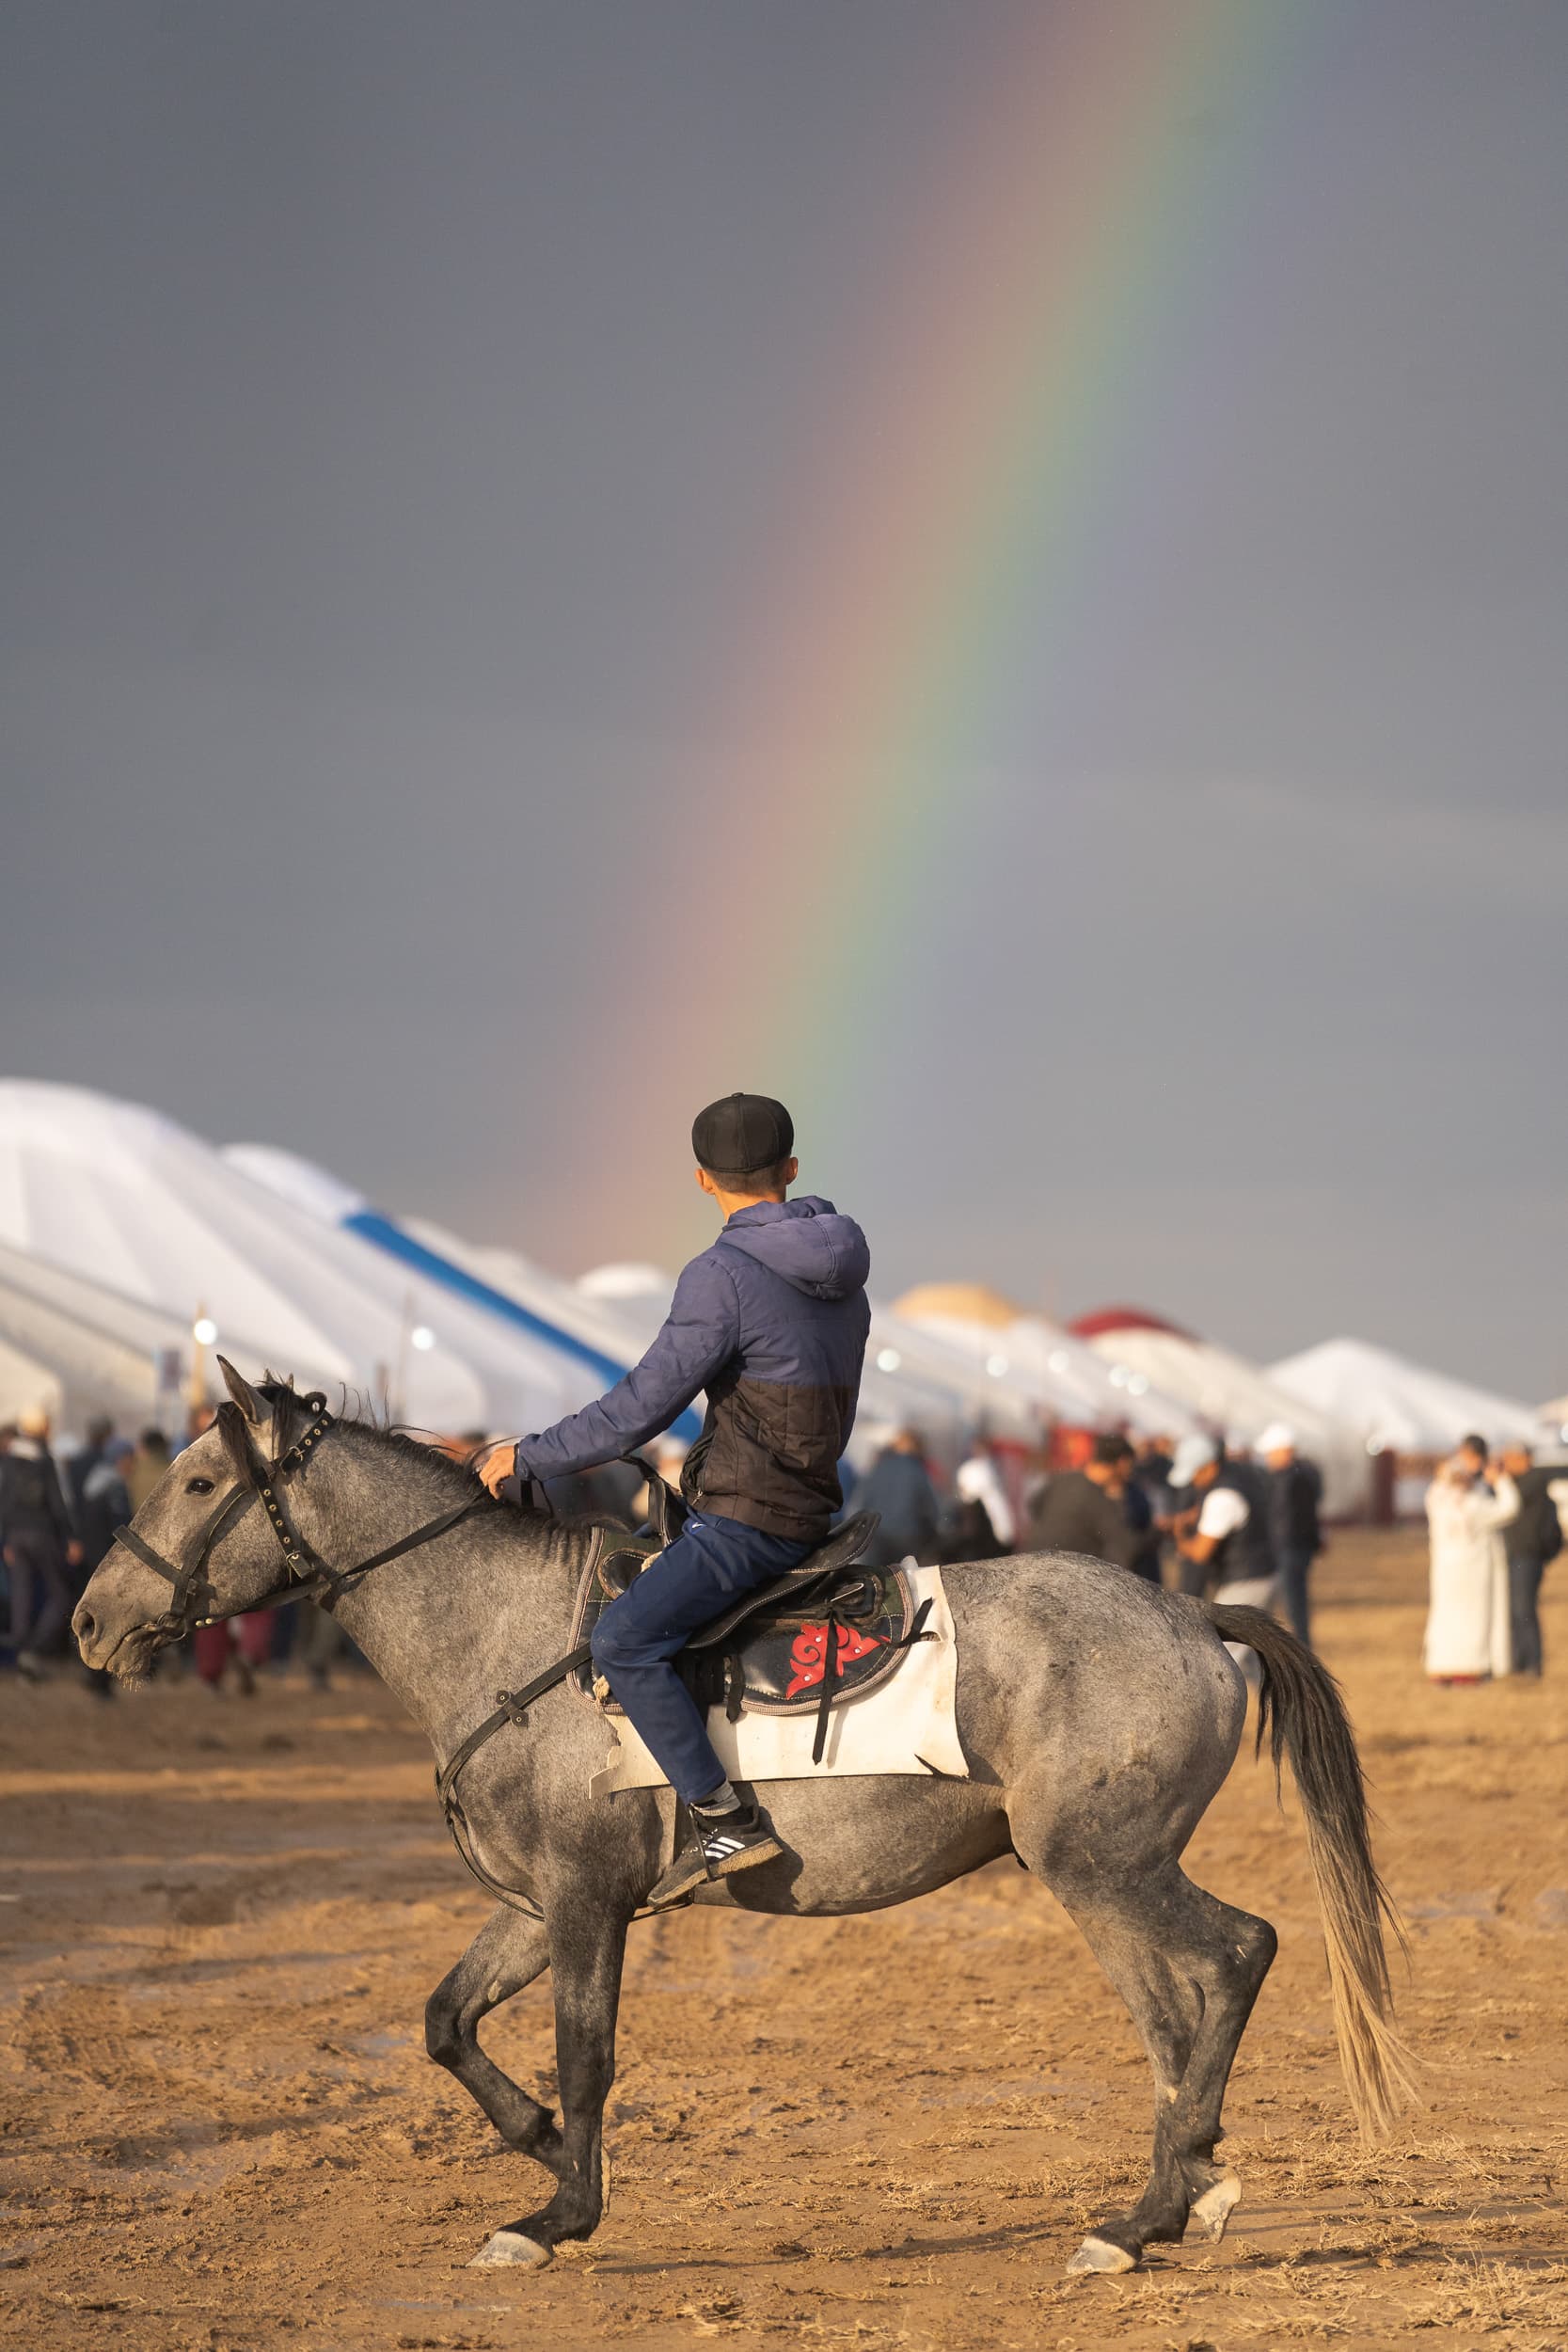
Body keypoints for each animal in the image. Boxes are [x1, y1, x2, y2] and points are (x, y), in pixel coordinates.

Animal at [73, 1374, 1419, 2267]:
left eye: (200, 1481)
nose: (89, 1622)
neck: (503, 1633)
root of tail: (1190, 1612)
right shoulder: (536, 1905)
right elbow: (448, 2022)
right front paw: (539, 2144)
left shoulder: (585, 1902)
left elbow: (586, 2050)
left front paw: (560, 2213)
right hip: (1098, 1873)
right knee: (1178, 2007)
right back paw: (1175, 2194)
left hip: (1102, 1865)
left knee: (1230, 1959)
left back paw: (1144, 2215)